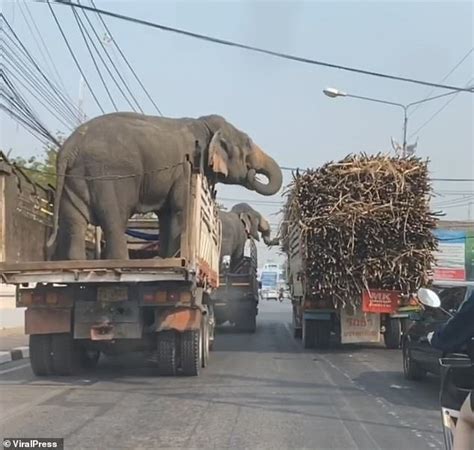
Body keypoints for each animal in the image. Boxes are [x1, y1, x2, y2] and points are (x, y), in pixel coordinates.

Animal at [47, 112, 282, 260]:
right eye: (248, 144)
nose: (252, 172)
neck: (205, 126)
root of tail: (69, 147)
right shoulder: (187, 167)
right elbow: (180, 208)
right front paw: (173, 258)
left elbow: (167, 214)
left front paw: (164, 257)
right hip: (109, 176)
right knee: (114, 219)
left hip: (75, 178)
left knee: (74, 221)